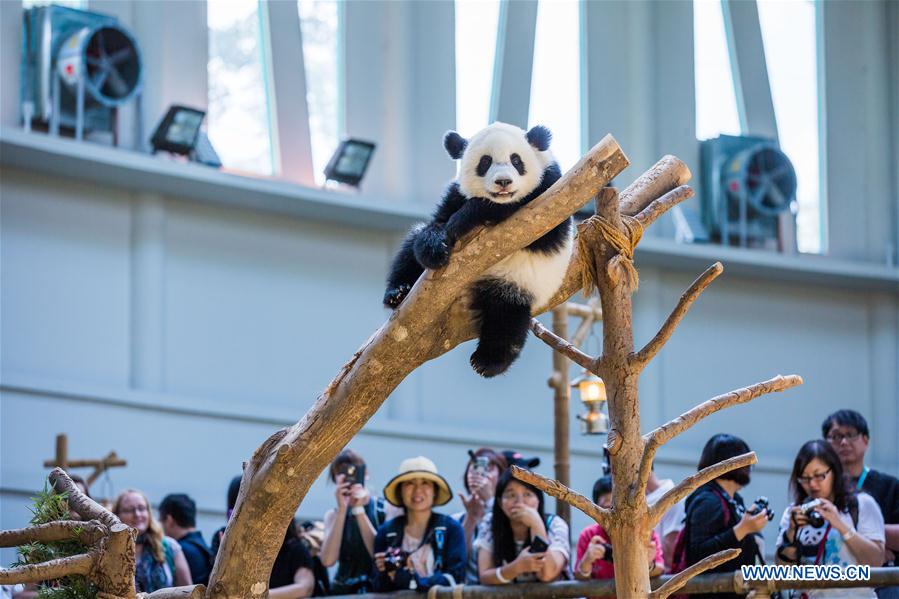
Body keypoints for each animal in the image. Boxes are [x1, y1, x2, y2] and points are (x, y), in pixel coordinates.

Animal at [383, 122, 573, 378]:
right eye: (485, 162)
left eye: (516, 160)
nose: (503, 182)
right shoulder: (455, 194)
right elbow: (435, 224)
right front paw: (434, 247)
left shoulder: (552, 194)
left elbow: (537, 226)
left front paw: (467, 217)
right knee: (407, 253)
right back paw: (398, 292)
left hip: (515, 284)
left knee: (506, 320)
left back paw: (487, 361)